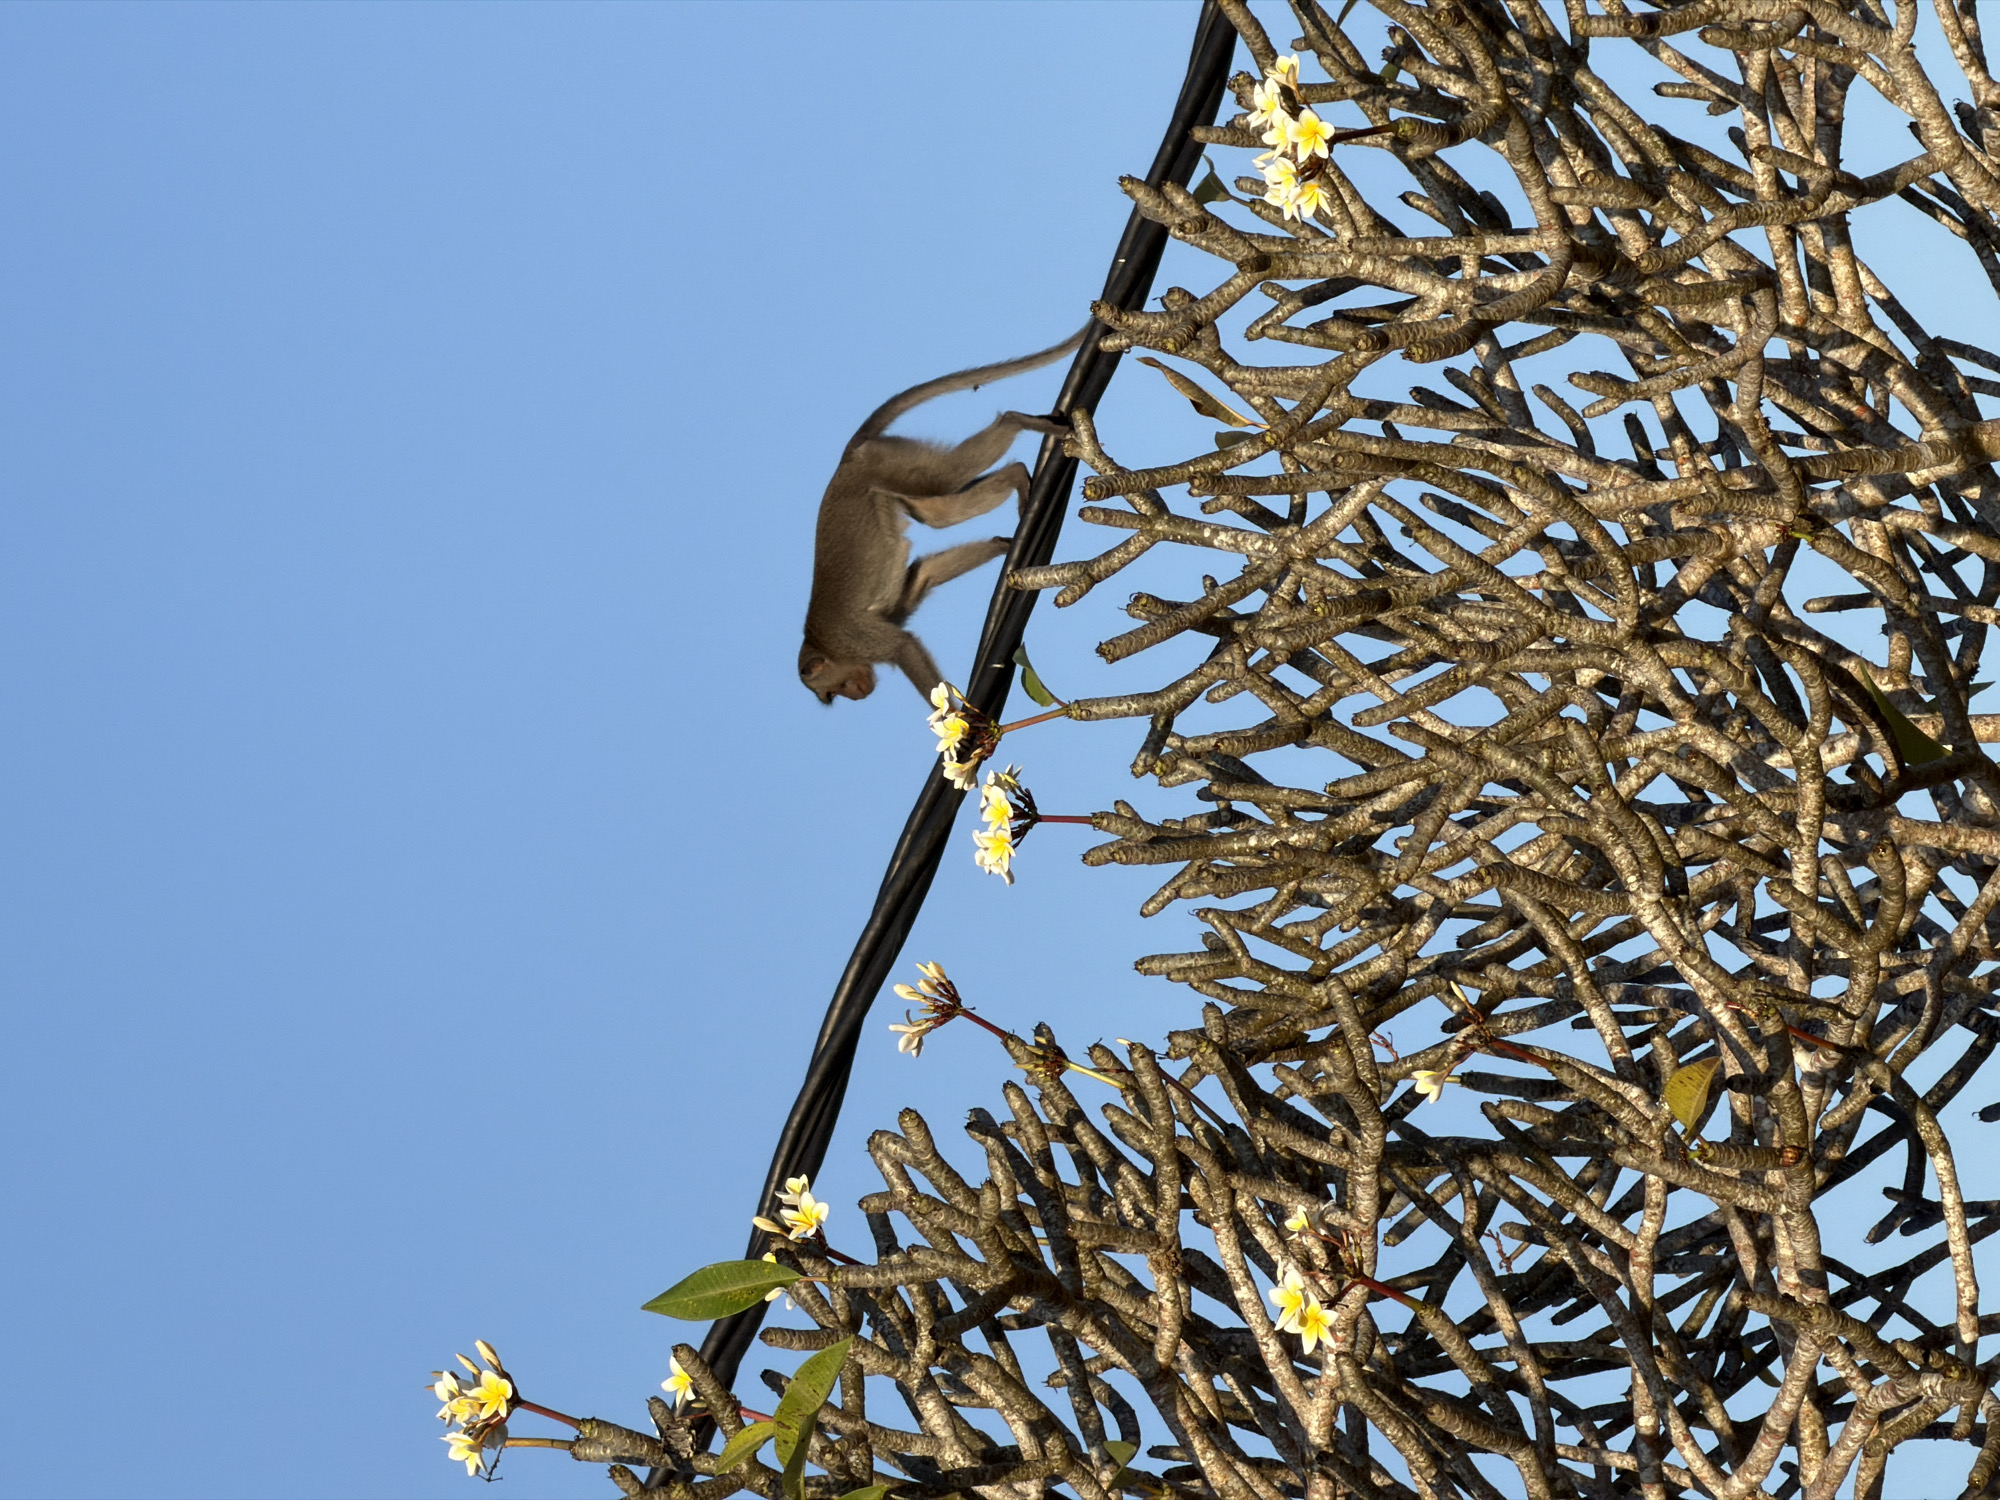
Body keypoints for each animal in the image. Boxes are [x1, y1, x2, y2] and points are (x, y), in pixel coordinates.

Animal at [798, 326, 1087, 705]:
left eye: (834, 688)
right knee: (937, 512)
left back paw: (1016, 424)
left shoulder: (853, 637)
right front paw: (1000, 545)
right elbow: (924, 574)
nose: (856, 694)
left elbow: (903, 647)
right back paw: (1015, 485)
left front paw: (961, 716)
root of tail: (848, 457)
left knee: (940, 480)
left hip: (883, 465)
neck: (823, 643)